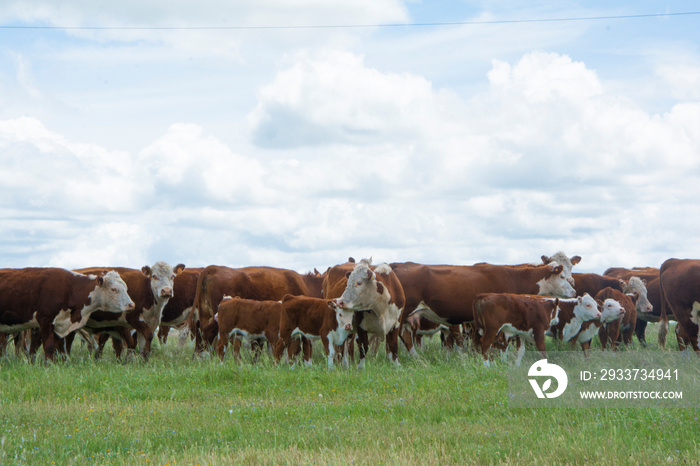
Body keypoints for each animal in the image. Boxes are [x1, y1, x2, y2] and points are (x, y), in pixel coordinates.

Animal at [0, 268, 134, 362]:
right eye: (114, 289)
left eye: (126, 288)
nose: (131, 305)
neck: (71, 289)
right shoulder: (46, 321)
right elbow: (49, 346)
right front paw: (47, 366)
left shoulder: (60, 325)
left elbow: (58, 347)